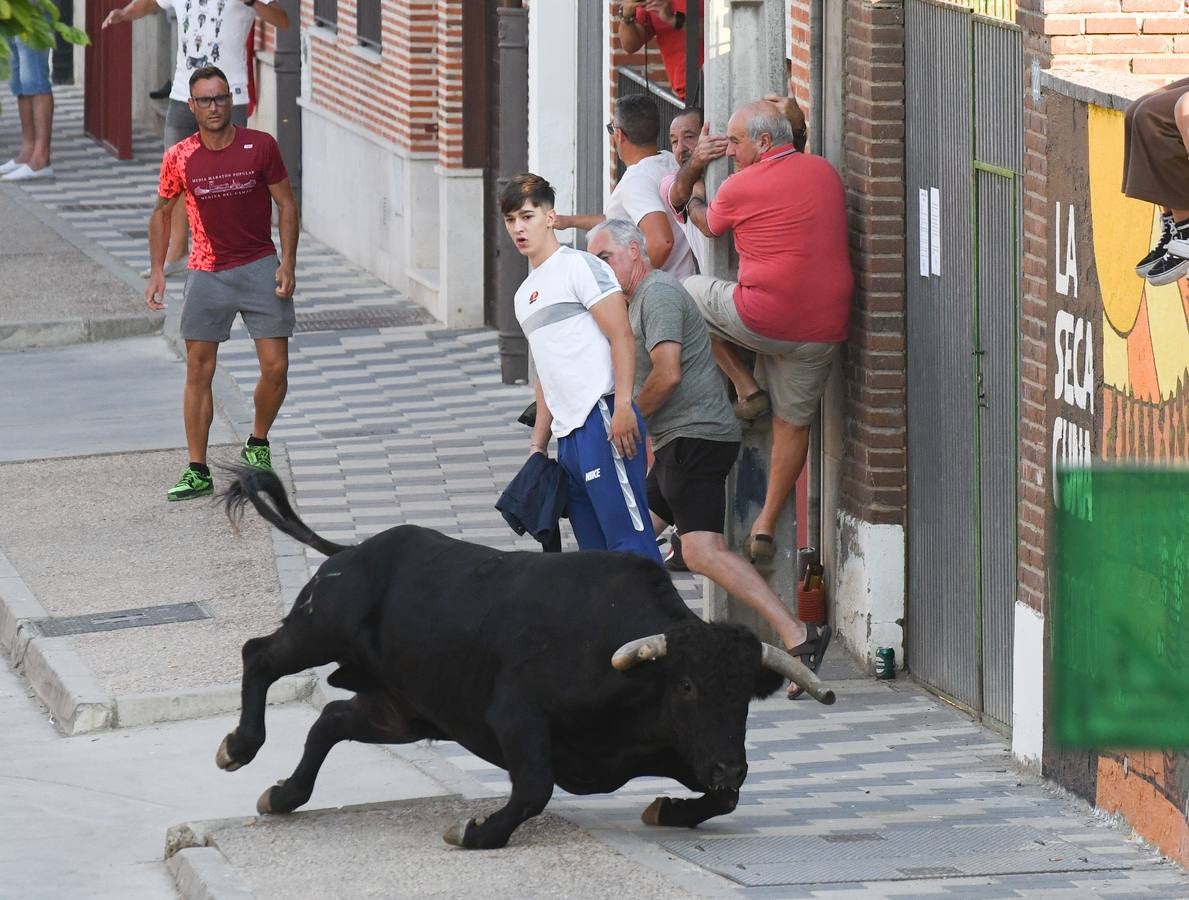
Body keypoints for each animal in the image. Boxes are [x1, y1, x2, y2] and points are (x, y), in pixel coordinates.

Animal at [216, 470, 837, 851]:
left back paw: (284, 795)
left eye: (743, 695)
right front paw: (475, 831)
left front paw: (667, 809)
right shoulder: (516, 717)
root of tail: (353, 549)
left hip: (403, 710)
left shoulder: (683, 751)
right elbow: (535, 788)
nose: (733, 764)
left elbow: (723, 798)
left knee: (331, 719)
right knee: (260, 656)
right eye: (686, 686)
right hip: (322, 627)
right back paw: (238, 747)